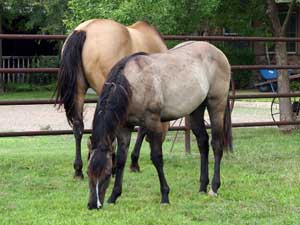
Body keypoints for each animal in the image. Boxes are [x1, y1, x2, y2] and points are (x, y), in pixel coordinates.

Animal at [55, 18, 169, 178]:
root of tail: (85, 30)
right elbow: (141, 130)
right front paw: (134, 162)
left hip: (79, 89)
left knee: (78, 127)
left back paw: (79, 169)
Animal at [86, 40, 232, 209]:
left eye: (107, 173)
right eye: (88, 172)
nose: (93, 204)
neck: (132, 84)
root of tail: (218, 52)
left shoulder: (153, 123)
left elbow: (156, 158)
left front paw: (165, 196)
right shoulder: (124, 128)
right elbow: (122, 159)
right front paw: (114, 196)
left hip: (216, 105)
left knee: (216, 145)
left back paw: (214, 188)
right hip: (196, 110)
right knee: (203, 142)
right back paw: (202, 187)